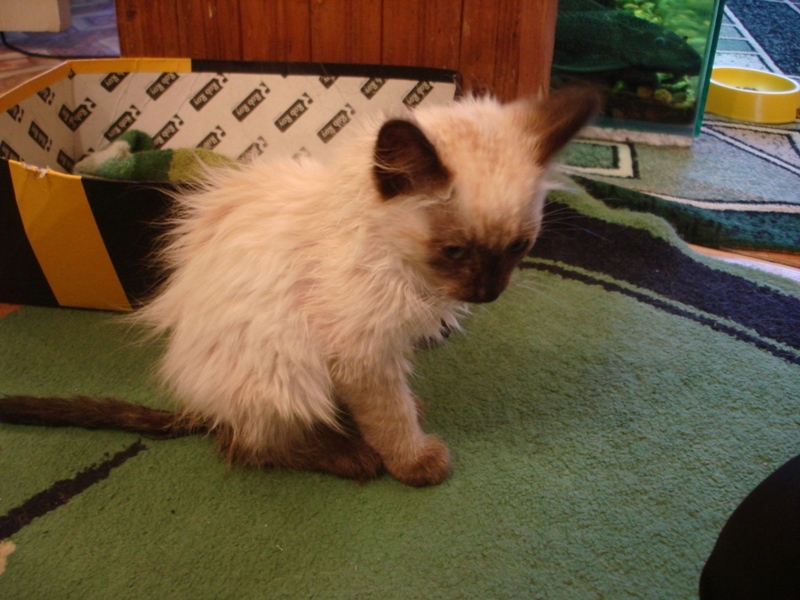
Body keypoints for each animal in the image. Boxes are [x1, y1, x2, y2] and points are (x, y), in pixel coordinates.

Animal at [0, 87, 600, 486]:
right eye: (454, 252)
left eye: (519, 248)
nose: (488, 293)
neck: (403, 269)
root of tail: (201, 405)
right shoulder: (362, 353)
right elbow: (389, 418)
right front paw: (414, 461)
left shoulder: (385, 349)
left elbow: (394, 402)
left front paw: (409, 418)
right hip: (285, 371)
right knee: (247, 445)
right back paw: (351, 457)